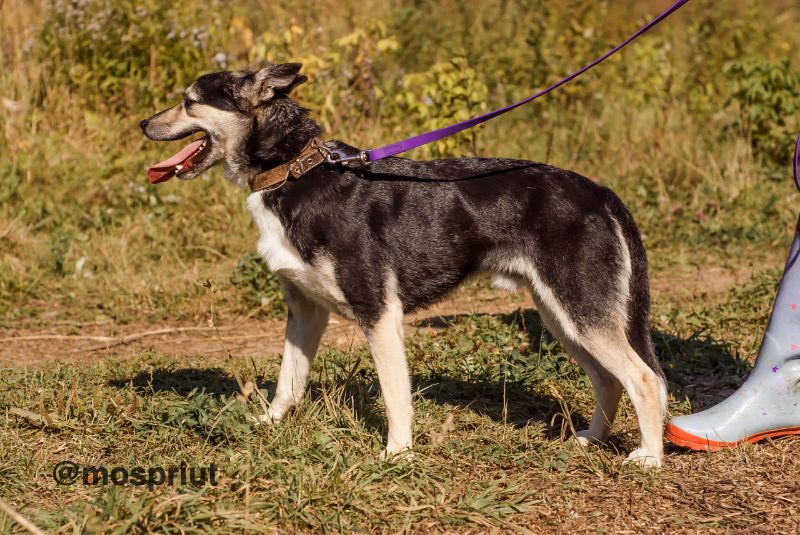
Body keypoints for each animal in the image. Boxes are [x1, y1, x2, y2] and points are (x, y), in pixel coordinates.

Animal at [142, 60, 668, 466]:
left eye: (189, 101)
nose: (143, 125)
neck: (295, 171)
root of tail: (598, 191)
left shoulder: (379, 315)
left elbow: (396, 397)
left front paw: (397, 453)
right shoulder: (305, 313)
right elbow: (287, 382)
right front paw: (268, 424)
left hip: (581, 314)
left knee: (643, 379)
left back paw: (649, 458)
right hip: (562, 317)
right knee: (609, 381)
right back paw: (592, 440)